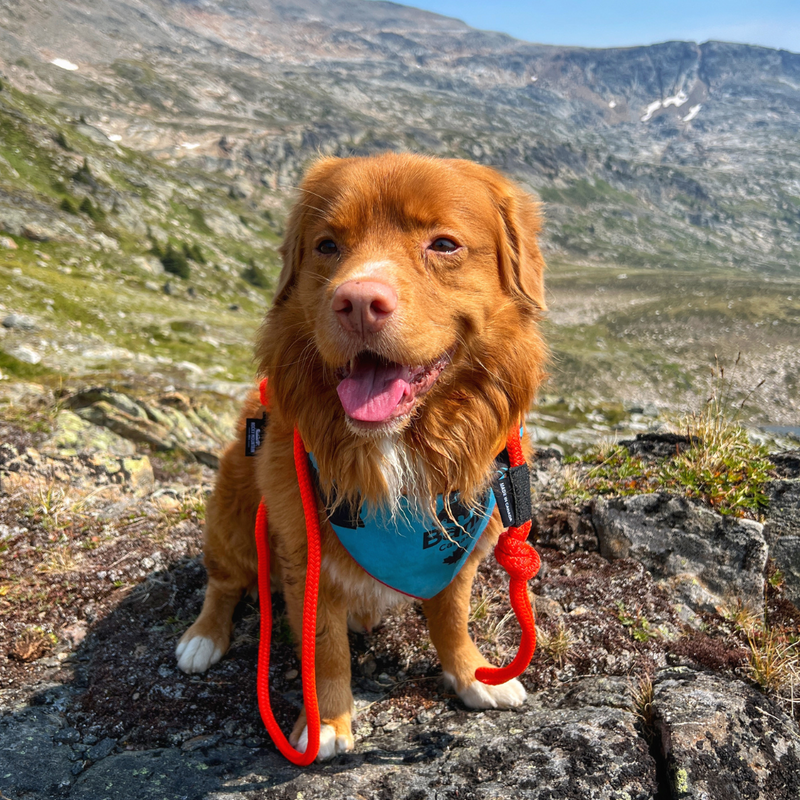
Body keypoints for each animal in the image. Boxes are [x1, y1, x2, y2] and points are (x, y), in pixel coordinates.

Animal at [176, 153, 548, 760]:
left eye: (444, 244)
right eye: (327, 245)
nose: (357, 303)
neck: (395, 447)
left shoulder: (459, 546)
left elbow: (452, 617)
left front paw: (471, 674)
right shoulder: (305, 551)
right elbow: (322, 646)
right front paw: (327, 721)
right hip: (232, 506)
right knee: (225, 581)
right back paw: (203, 638)